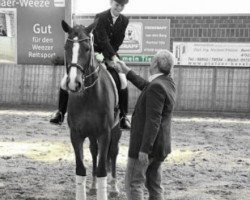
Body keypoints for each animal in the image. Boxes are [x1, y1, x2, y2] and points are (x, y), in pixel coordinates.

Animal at [61, 19, 122, 200]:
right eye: (66, 47)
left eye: (87, 48)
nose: (74, 83)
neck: (87, 96)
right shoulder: (76, 135)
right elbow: (81, 169)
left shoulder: (104, 133)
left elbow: (103, 169)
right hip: (92, 134)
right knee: (94, 152)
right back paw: (93, 186)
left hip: (116, 130)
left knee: (113, 153)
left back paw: (114, 188)